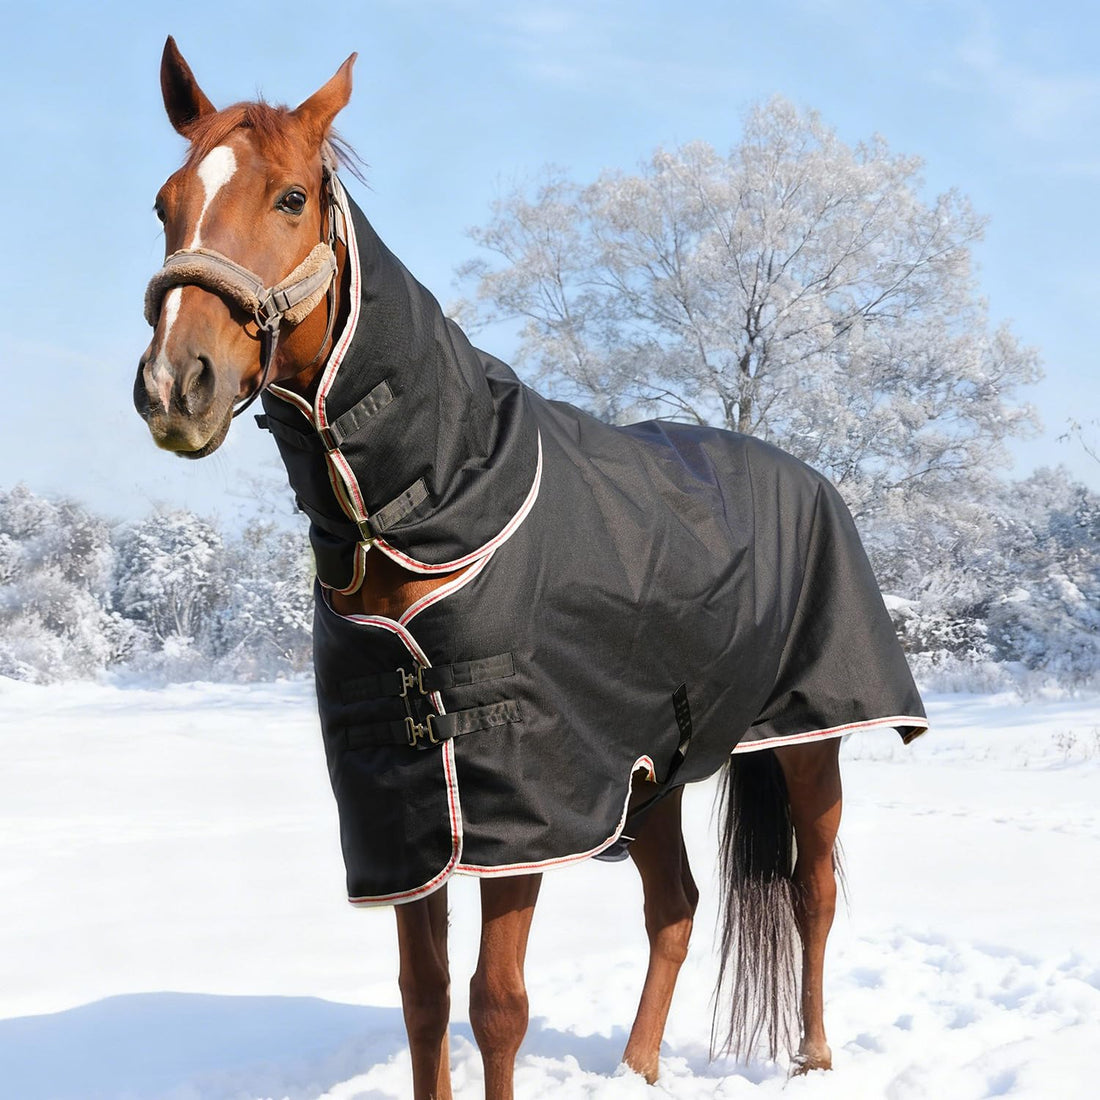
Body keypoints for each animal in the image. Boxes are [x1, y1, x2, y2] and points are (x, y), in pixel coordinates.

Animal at [134, 38, 927, 1099]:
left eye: (292, 197)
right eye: (166, 202)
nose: (176, 386)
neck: (433, 504)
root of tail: (807, 474)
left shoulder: (525, 814)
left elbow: (497, 1008)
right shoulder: (413, 816)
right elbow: (425, 1001)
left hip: (811, 737)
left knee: (813, 891)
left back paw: (812, 1057)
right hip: (651, 776)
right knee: (676, 908)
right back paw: (637, 1068)